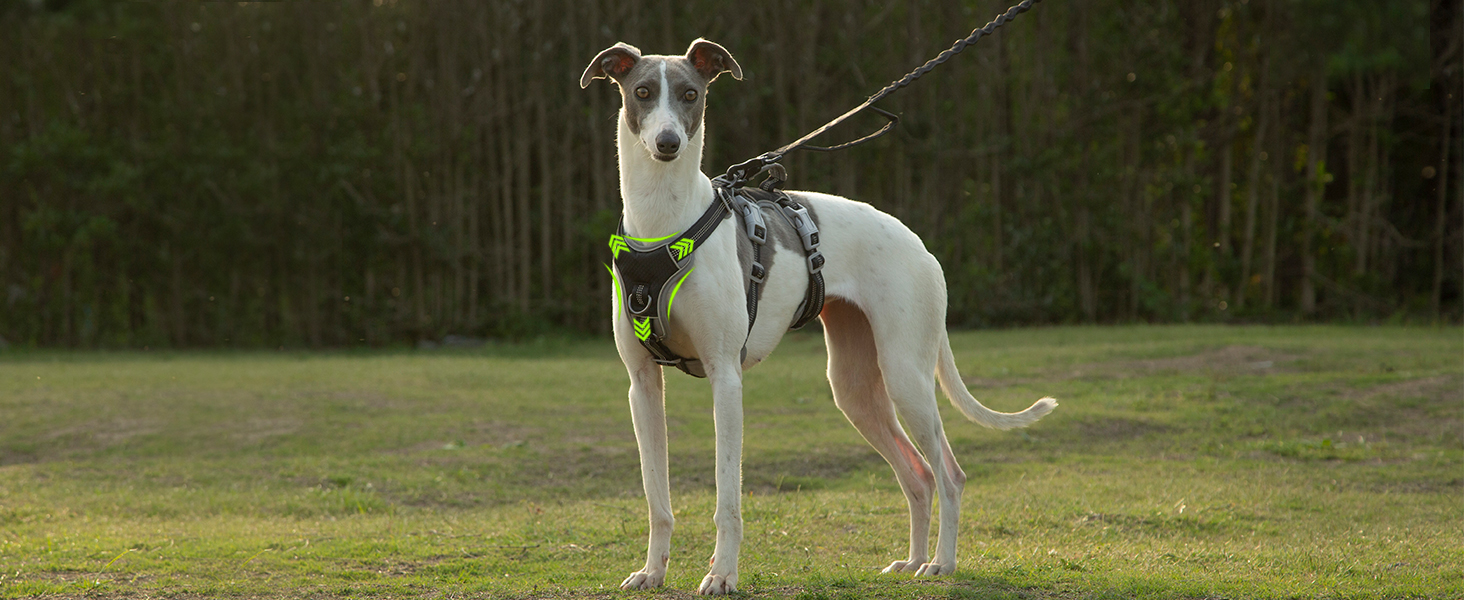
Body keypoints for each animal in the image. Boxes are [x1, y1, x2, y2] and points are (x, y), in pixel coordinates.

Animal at [579, 38, 1054, 594]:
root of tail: (921, 247)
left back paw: (941, 563)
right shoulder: (642, 386)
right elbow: (657, 498)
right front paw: (653, 571)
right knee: (918, 474)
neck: (664, 224)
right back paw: (912, 561)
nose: (668, 143)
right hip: (854, 390)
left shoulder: (726, 378)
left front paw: (722, 574)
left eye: (691, 94)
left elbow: (727, 499)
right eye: (643, 92)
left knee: (949, 474)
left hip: (905, 376)